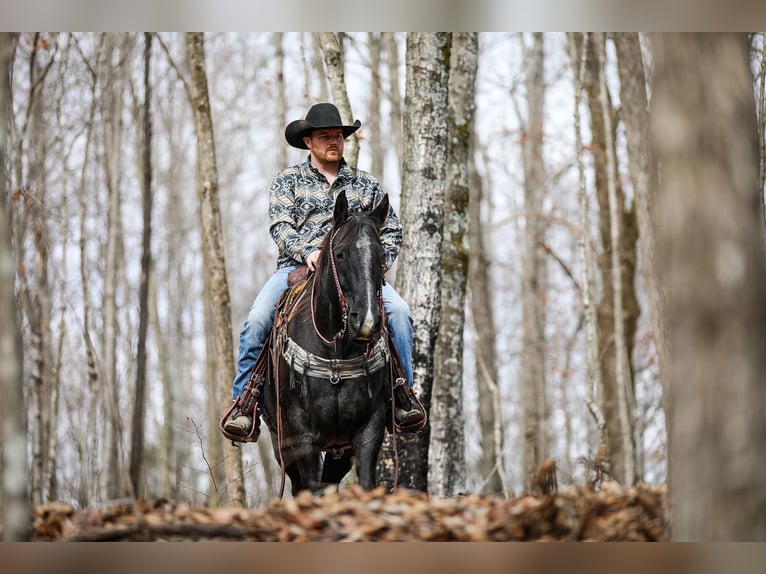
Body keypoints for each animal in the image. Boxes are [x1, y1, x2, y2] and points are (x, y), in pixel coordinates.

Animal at [264, 191, 396, 498]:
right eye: (340, 254)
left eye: (381, 256)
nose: (367, 321)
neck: (336, 352)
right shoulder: (302, 437)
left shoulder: (368, 430)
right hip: (281, 443)